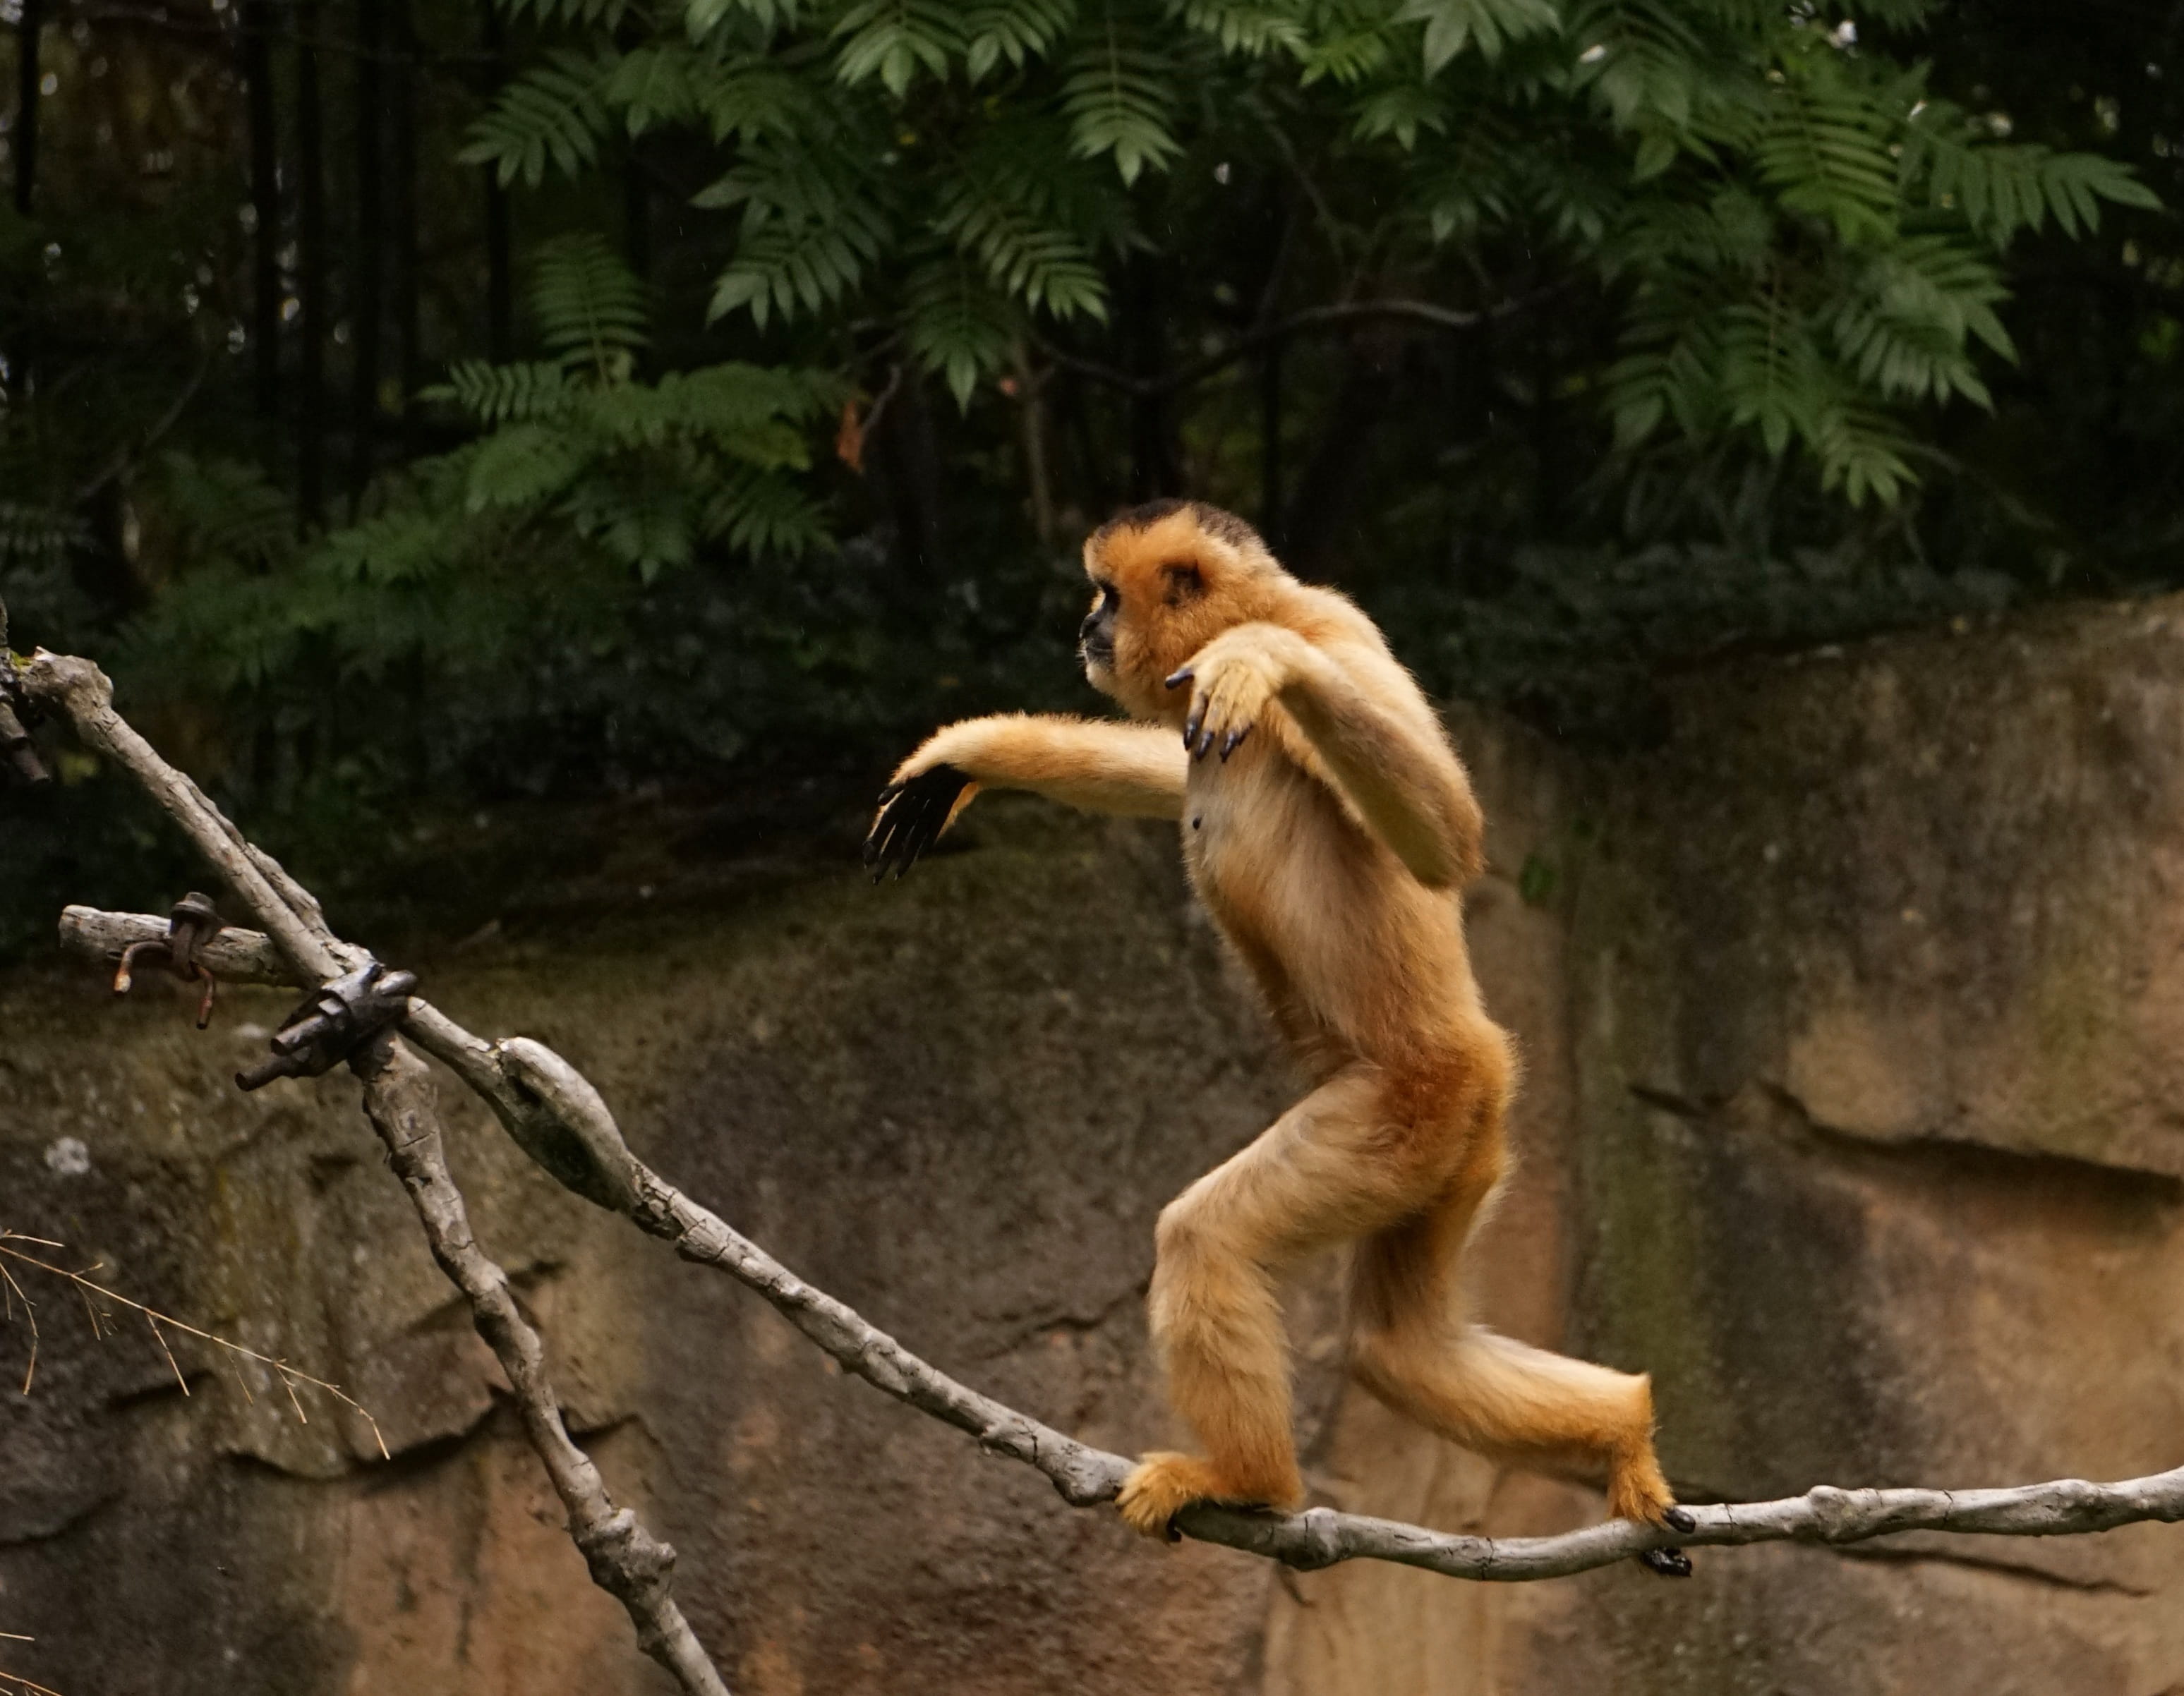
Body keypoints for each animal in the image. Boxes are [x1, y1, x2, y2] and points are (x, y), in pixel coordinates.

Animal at [866, 499, 1690, 1567]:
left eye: (1104, 597)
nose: (1084, 627)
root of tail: (1470, 1058)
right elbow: (1169, 766)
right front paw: (967, 756)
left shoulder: (1338, 636)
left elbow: (1445, 834)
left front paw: (1269, 664)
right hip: (1454, 1145)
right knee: (1399, 1350)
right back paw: (1622, 1432)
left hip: (1393, 1117)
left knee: (1208, 1243)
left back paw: (1250, 1482)